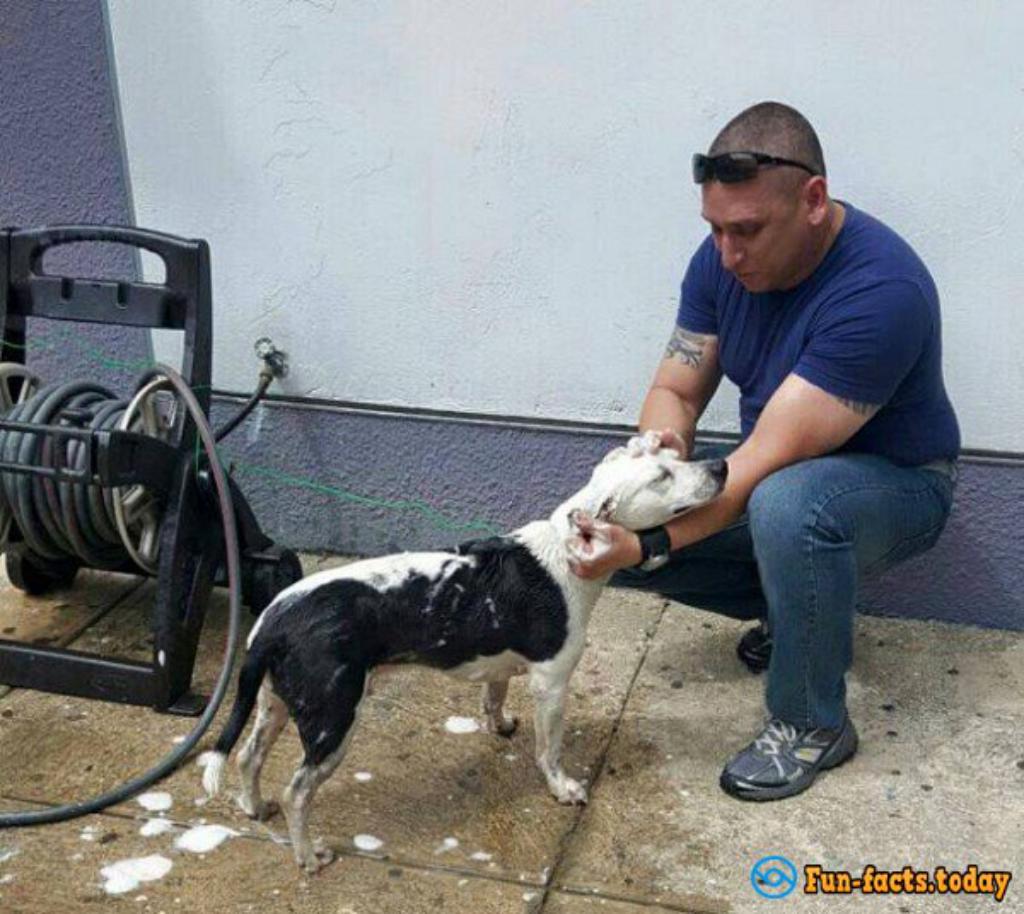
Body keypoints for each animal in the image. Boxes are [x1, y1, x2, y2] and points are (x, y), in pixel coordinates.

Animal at [197, 438, 729, 872]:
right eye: (661, 477)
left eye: (675, 457)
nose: (722, 465)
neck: (565, 554)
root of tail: (271, 624)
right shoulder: (552, 682)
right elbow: (550, 750)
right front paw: (562, 789)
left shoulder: (502, 665)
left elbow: (494, 698)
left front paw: (501, 725)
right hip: (333, 721)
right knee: (297, 792)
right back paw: (308, 856)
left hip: (275, 702)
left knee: (247, 756)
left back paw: (254, 807)